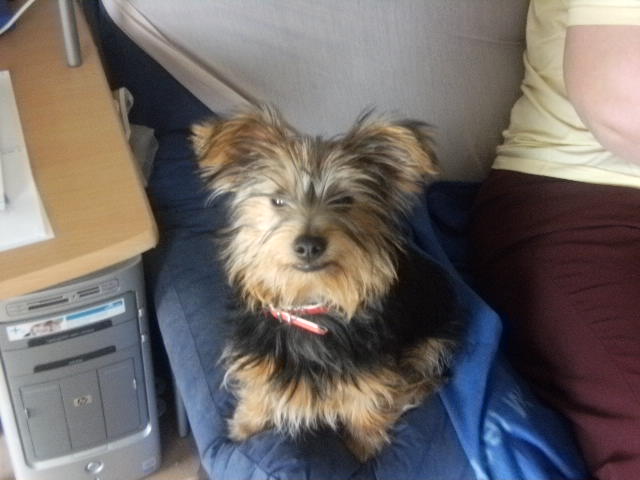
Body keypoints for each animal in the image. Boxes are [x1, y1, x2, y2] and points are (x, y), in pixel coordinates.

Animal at [191, 105, 462, 461]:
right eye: (277, 200)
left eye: (345, 200)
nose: (309, 244)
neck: (310, 306)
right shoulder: (259, 357)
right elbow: (258, 391)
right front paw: (244, 428)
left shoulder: (371, 374)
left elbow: (367, 406)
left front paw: (363, 449)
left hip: (432, 338)